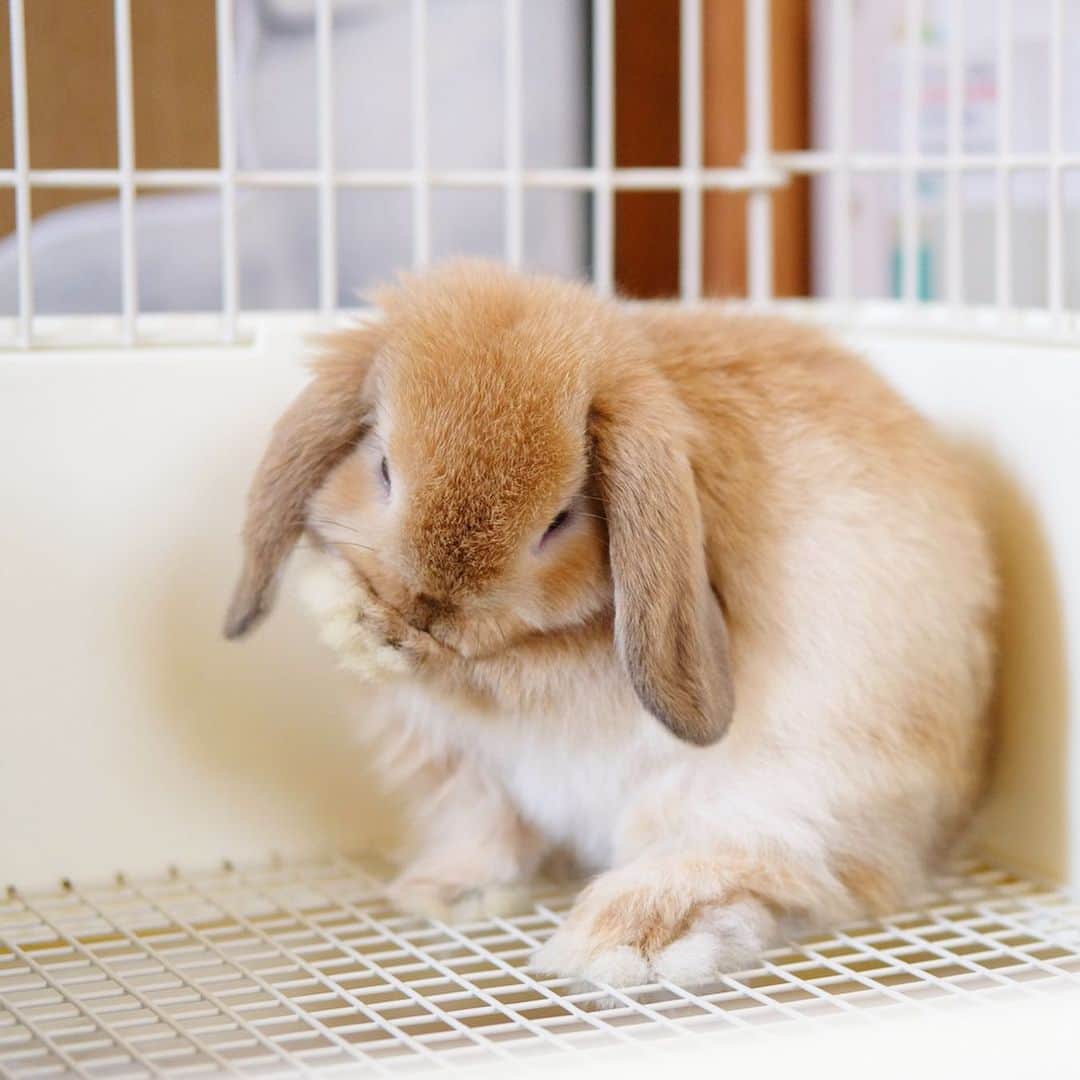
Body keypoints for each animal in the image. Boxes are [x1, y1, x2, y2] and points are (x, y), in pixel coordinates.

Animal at [224, 260, 997, 987]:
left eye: (560, 520)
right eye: (383, 468)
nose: (432, 608)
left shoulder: (562, 672)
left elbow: (500, 675)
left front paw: (367, 629)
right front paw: (354, 613)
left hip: (787, 796)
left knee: (774, 873)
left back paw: (625, 941)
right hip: (471, 783)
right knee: (495, 838)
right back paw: (447, 893)